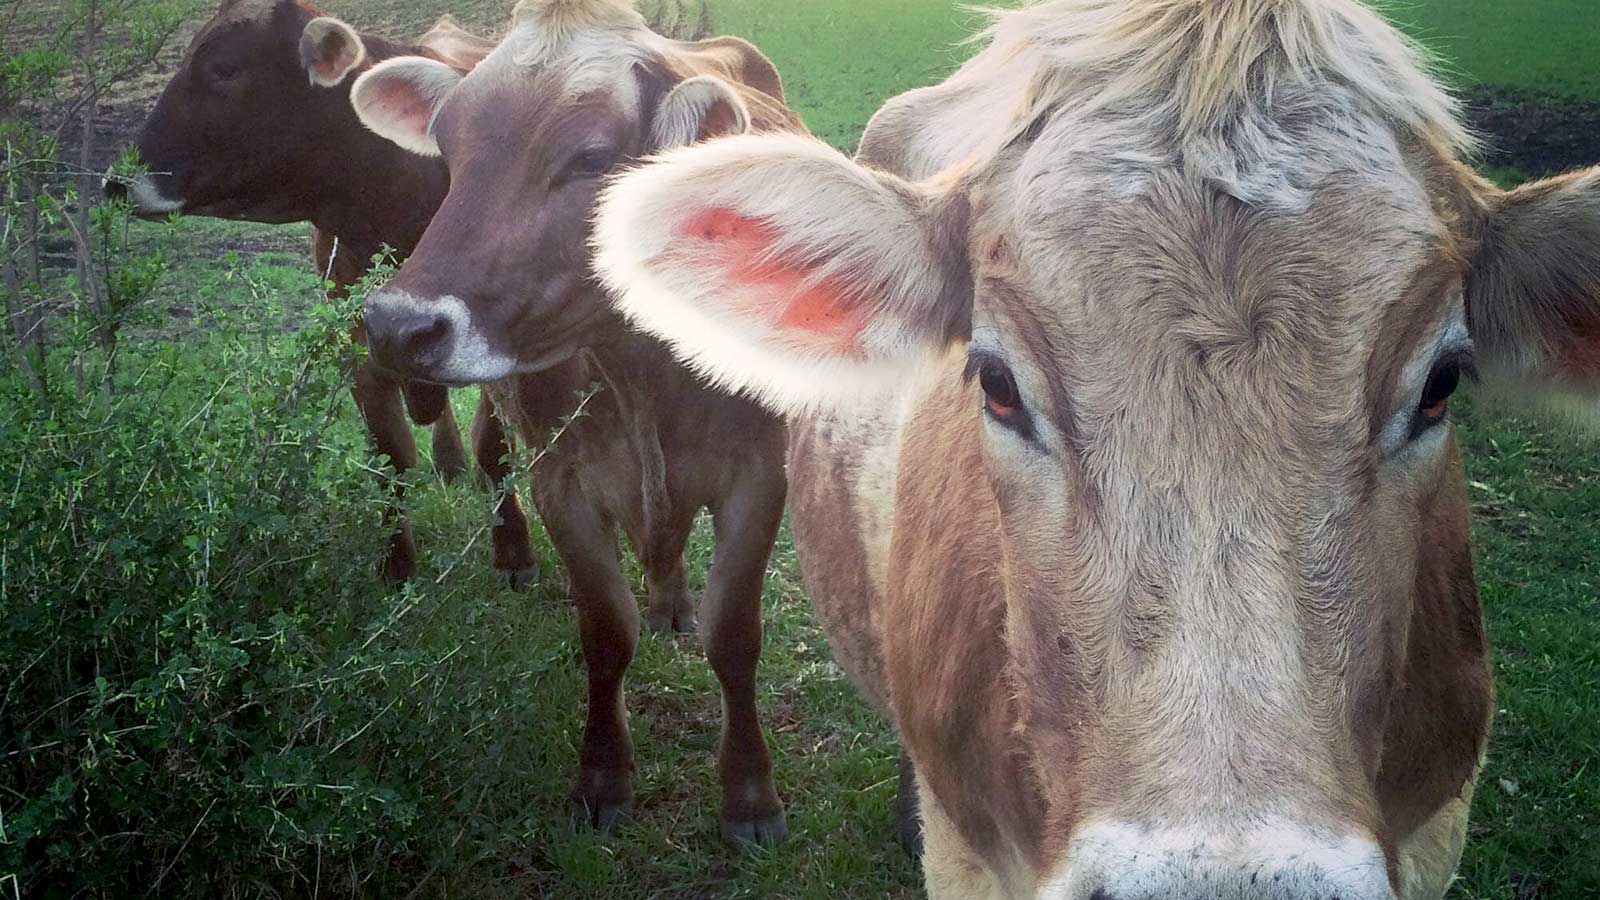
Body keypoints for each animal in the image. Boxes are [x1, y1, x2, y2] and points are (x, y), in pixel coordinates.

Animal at [108, 0, 544, 586]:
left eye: (224, 68)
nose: (116, 181)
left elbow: (493, 449)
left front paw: (514, 552)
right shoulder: (356, 346)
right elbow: (390, 456)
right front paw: (396, 566)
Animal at [345, 0, 806, 839]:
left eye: (591, 158)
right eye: (448, 150)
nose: (396, 326)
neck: (644, 369)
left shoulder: (762, 473)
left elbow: (733, 635)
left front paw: (750, 794)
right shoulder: (562, 479)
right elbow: (604, 632)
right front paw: (602, 778)